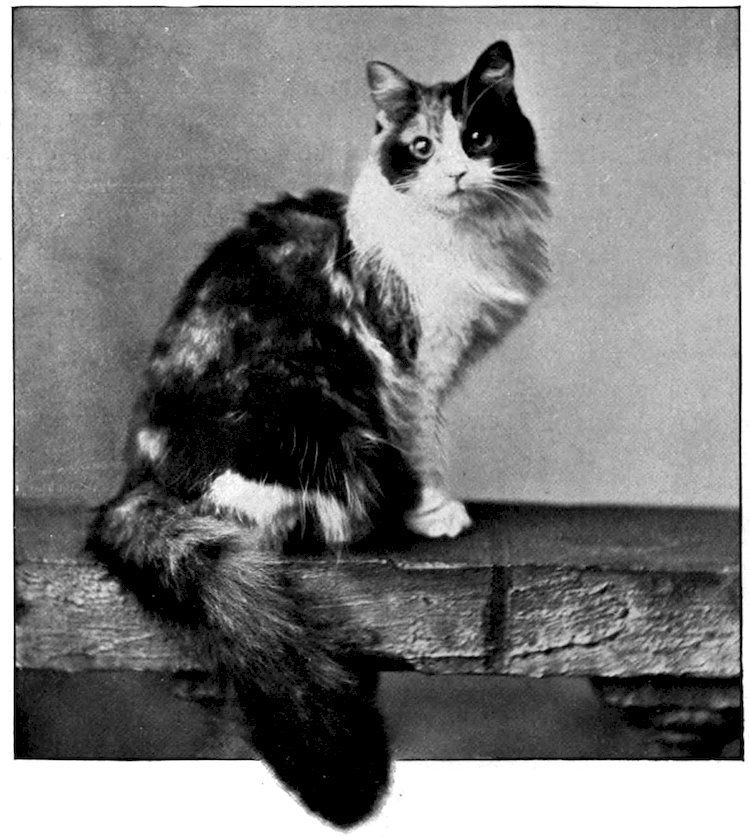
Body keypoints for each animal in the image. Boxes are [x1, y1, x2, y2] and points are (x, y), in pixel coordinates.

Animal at [88, 40, 548, 826]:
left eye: (479, 137)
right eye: (421, 148)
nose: (456, 172)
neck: (459, 235)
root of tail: (141, 482)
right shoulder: (412, 367)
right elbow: (426, 446)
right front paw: (436, 514)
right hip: (314, 428)